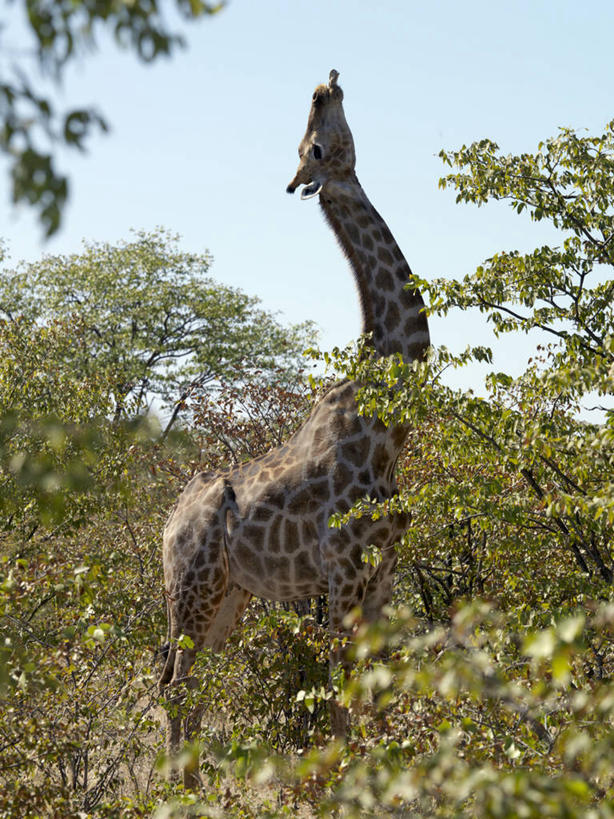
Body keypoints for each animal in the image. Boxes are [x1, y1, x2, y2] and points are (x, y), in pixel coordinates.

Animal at [158, 70, 428, 788]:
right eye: (315, 148)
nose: (325, 84)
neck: (386, 432)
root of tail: (166, 524)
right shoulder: (342, 574)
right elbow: (338, 691)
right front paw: (342, 784)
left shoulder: (383, 577)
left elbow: (377, 693)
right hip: (192, 589)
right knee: (175, 683)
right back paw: (177, 792)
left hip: (228, 596)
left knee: (192, 684)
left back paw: (196, 787)